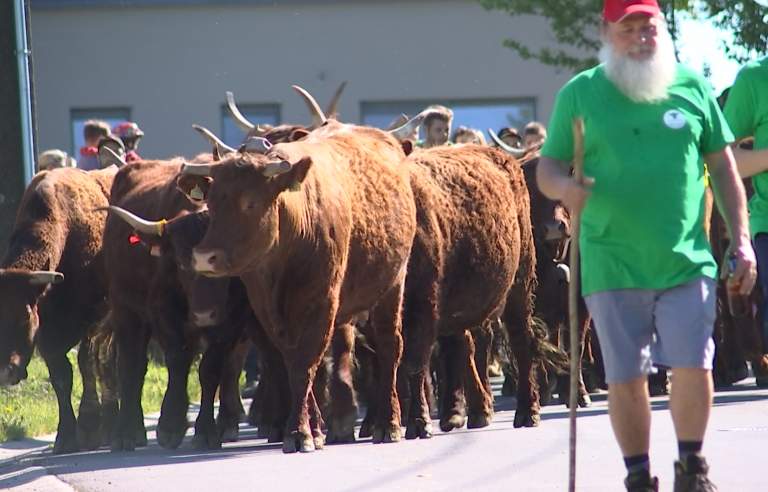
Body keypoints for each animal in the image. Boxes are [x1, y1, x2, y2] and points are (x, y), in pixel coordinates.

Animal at [0, 166, 118, 454]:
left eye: (24, 318)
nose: (5, 373)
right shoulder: (47, 337)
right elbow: (61, 378)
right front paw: (66, 436)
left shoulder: (93, 317)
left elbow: (86, 362)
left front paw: (88, 425)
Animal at [179, 116, 416, 454]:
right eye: (210, 202)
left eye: (251, 203)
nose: (203, 256)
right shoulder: (268, 312)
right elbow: (297, 366)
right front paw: (311, 428)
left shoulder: (321, 303)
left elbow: (305, 365)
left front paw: (299, 431)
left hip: (393, 284)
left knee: (388, 347)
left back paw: (389, 423)